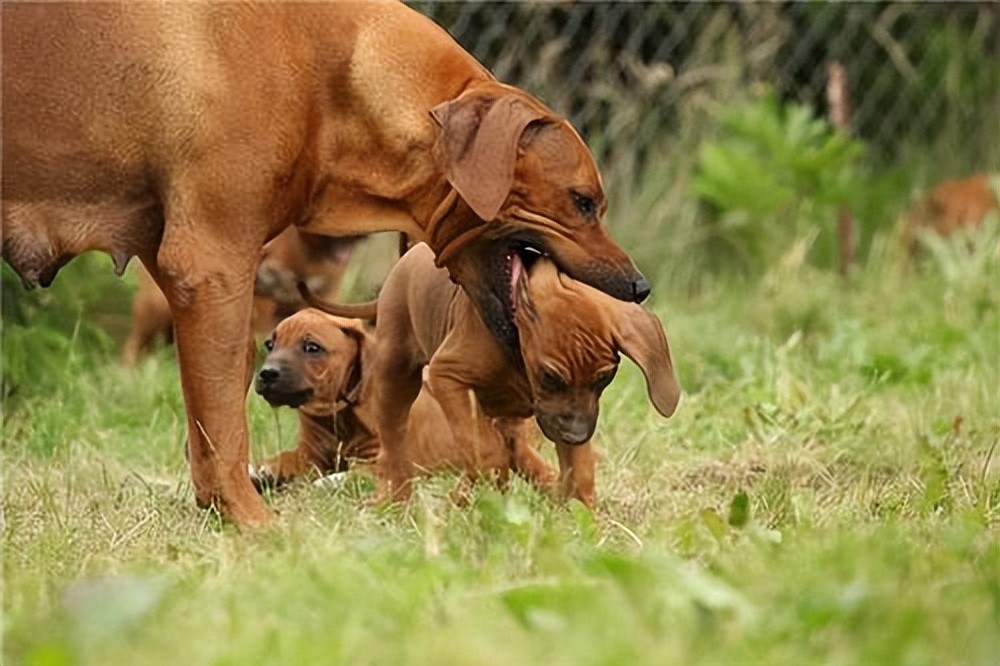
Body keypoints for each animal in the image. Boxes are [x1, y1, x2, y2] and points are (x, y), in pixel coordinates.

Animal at [250, 308, 378, 486]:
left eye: (312, 347)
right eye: (270, 345)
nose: (267, 373)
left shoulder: (380, 458)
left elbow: (355, 473)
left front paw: (327, 482)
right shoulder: (309, 455)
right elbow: (286, 457)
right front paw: (261, 468)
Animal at [304, 244, 680, 504]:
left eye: (605, 379)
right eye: (549, 377)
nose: (575, 435)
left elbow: (578, 472)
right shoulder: (448, 376)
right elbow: (488, 455)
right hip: (396, 374)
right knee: (399, 445)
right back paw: (401, 500)